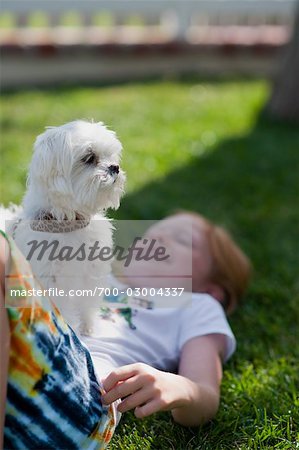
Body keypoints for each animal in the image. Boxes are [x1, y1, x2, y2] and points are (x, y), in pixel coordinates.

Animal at [2, 119, 125, 334]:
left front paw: (87, 326)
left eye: (111, 155)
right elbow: (61, 309)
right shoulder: (51, 281)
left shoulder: (91, 273)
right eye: (89, 158)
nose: (115, 167)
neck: (68, 223)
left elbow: (87, 303)